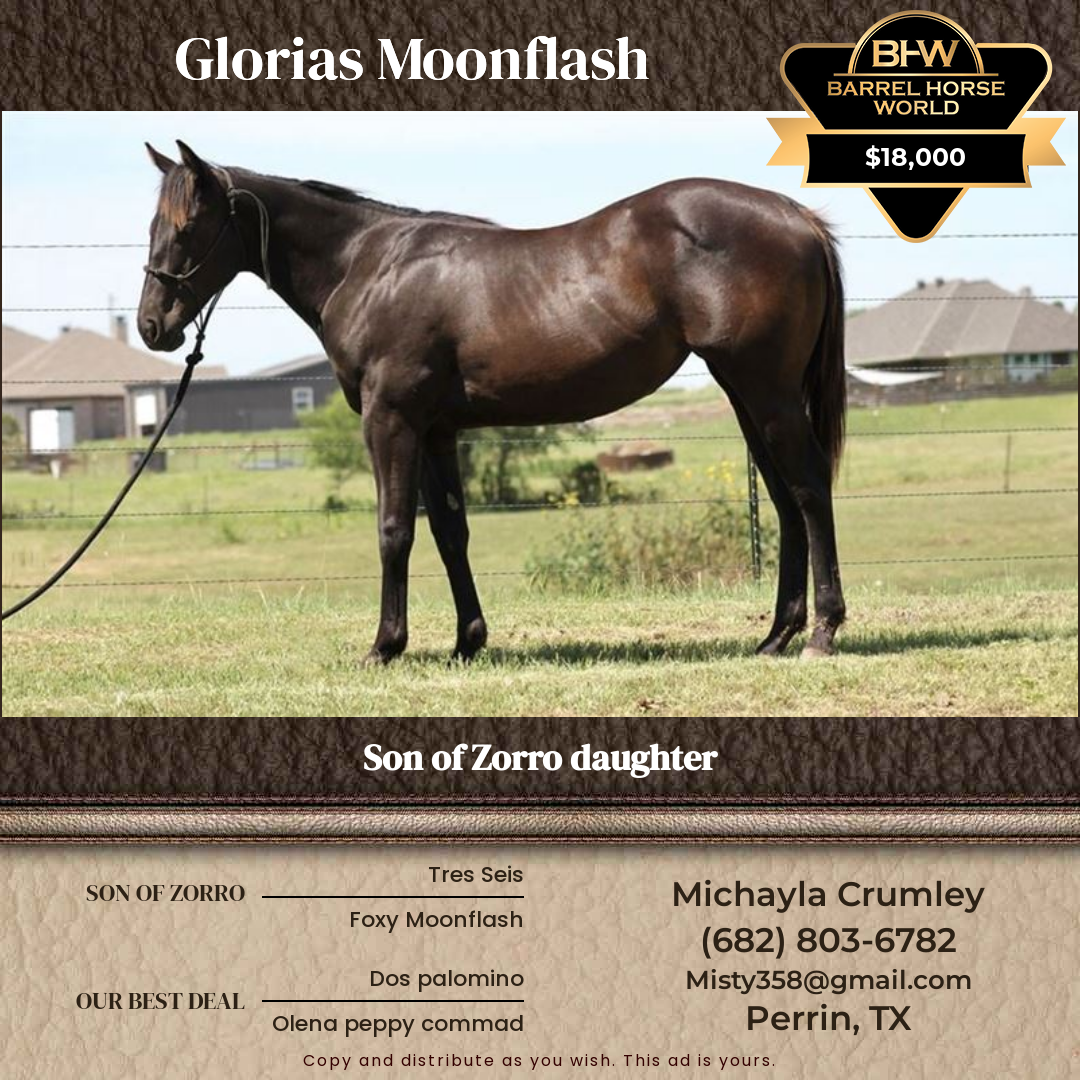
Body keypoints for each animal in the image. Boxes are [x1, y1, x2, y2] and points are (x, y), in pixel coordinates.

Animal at [138, 141, 847, 663]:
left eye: (187, 226)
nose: (152, 326)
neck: (368, 267)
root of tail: (797, 217)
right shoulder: (436, 430)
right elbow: (451, 531)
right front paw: (467, 642)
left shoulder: (391, 420)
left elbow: (394, 530)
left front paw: (385, 647)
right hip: (746, 394)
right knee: (785, 498)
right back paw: (776, 635)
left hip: (767, 391)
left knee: (810, 488)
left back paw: (821, 632)